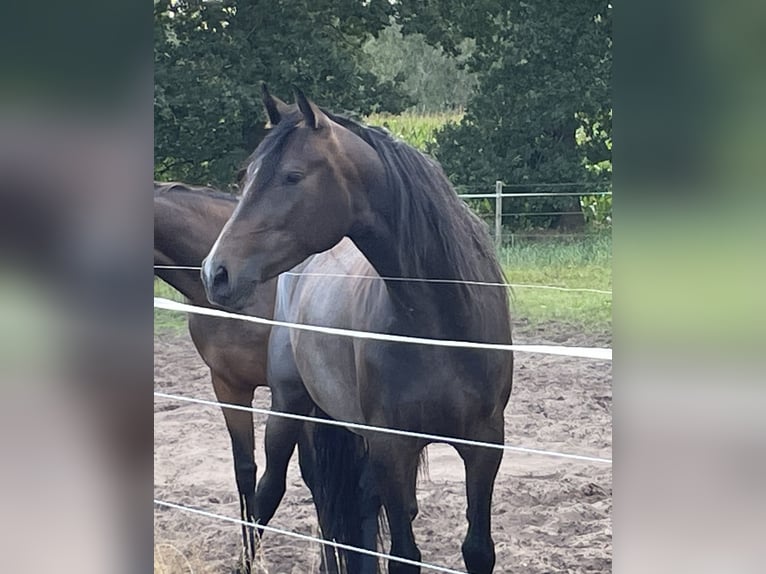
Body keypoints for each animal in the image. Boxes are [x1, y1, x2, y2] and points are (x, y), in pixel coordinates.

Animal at [204, 92, 516, 572]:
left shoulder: (485, 446)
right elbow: (404, 556)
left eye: (293, 176)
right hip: (288, 407)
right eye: (247, 176)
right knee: (268, 491)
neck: (439, 330)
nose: (215, 272)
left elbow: (477, 550)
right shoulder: (393, 448)